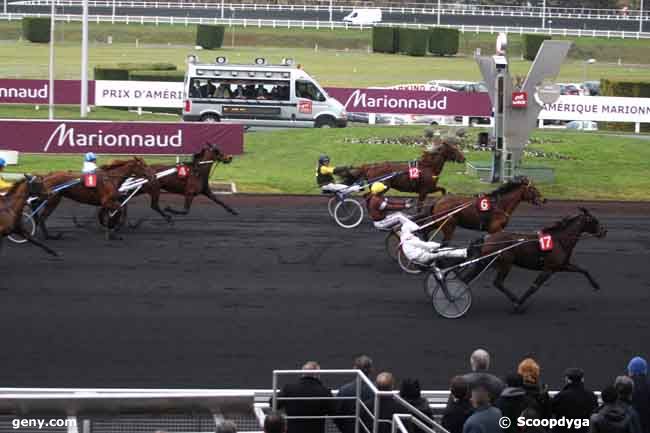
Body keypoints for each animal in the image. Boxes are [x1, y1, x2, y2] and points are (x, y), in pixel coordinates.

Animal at [34, 157, 165, 240]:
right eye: (144, 165)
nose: (153, 175)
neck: (111, 178)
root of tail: (46, 176)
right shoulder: (106, 201)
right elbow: (118, 210)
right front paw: (113, 229)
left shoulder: (109, 202)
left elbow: (113, 212)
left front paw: (111, 229)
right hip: (53, 200)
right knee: (42, 217)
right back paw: (49, 236)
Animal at [334, 140, 466, 208]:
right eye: (454, 149)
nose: (463, 158)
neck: (428, 167)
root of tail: (370, 166)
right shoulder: (424, 190)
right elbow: (420, 206)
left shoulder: (430, 188)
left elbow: (443, 190)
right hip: (382, 186)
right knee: (368, 196)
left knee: (368, 196)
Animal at [464, 208, 604, 312]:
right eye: (595, 221)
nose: (604, 231)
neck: (560, 240)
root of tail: (487, 238)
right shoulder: (548, 269)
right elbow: (534, 287)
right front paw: (519, 304)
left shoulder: (562, 265)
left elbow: (583, 270)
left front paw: (596, 285)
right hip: (505, 263)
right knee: (497, 283)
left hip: (485, 262)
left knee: (468, 279)